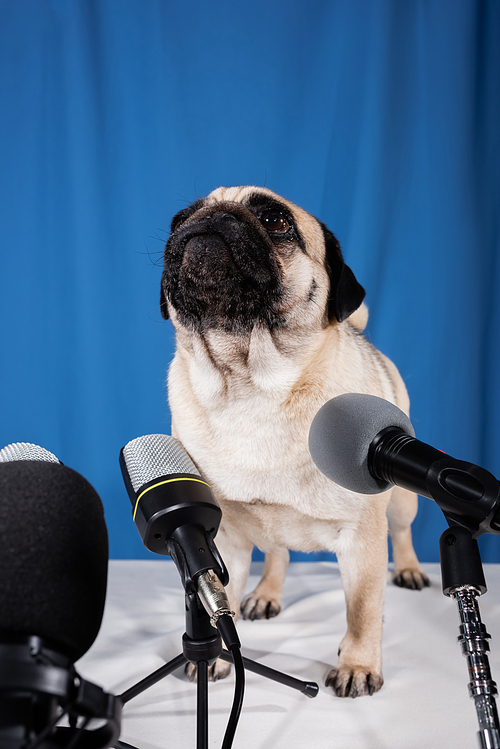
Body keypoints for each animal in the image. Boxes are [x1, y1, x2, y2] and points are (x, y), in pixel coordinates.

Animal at [159, 186, 426, 696]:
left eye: (275, 220)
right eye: (179, 219)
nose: (212, 217)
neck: (252, 387)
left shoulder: (362, 537)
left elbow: (363, 610)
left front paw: (359, 665)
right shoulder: (221, 535)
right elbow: (221, 593)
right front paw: (217, 658)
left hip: (402, 497)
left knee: (402, 532)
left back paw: (408, 569)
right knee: (278, 551)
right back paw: (266, 593)